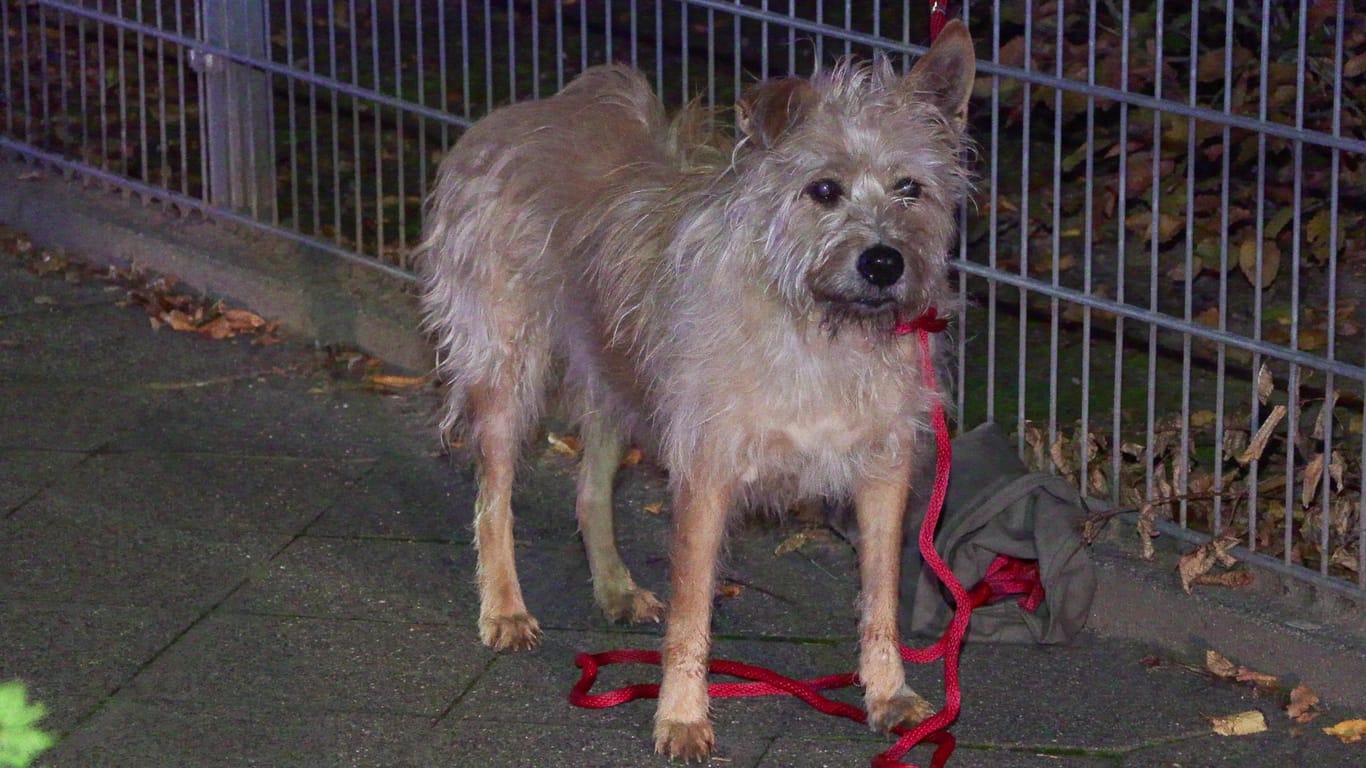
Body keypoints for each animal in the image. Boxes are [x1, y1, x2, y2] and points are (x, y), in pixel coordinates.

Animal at [409, 22, 978, 759]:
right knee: (493, 497)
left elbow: (879, 598)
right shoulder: (706, 475)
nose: (883, 262)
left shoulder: (884, 475)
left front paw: (888, 694)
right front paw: (680, 715)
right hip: (508, 376)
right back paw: (504, 607)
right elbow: (691, 612)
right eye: (823, 189)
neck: (816, 327)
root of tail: (525, 113)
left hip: (616, 376)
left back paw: (614, 588)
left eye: (911, 187)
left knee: (590, 490)